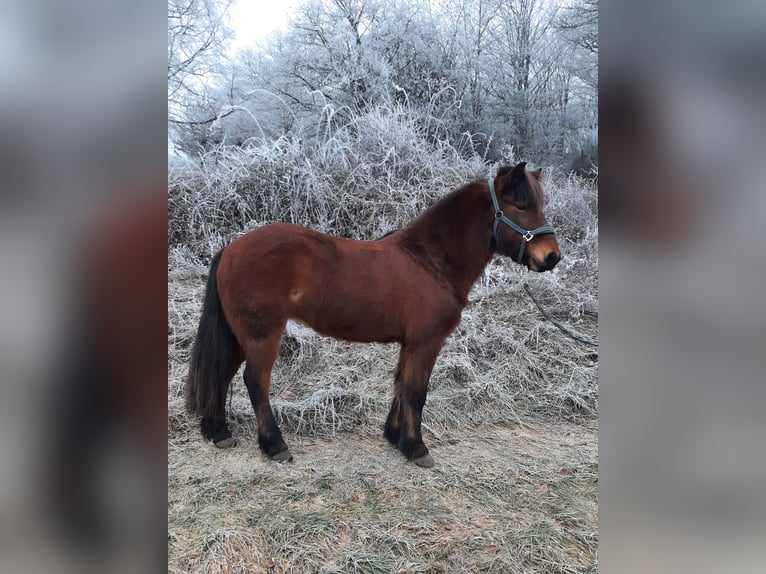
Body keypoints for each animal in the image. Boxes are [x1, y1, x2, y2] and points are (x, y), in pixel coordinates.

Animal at [186, 162, 560, 467]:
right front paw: (417, 448)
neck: (430, 260)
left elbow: (401, 385)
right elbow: (417, 391)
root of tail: (231, 249)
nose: (551, 257)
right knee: (255, 381)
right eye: (521, 206)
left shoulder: (410, 343)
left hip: (239, 336)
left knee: (221, 374)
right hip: (263, 334)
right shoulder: (427, 342)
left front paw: (396, 437)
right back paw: (275, 445)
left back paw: (218, 432)